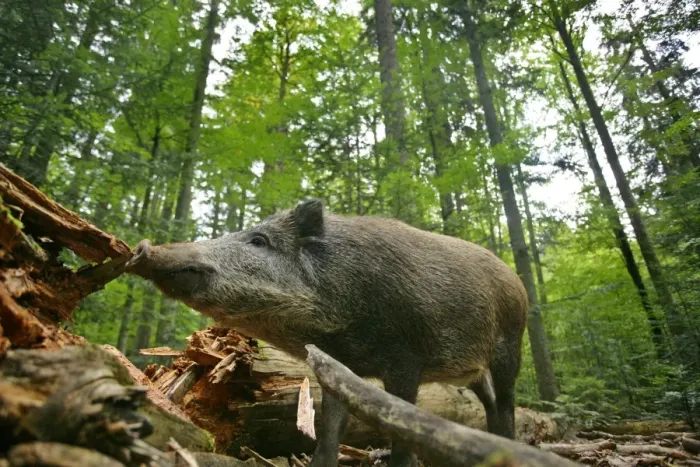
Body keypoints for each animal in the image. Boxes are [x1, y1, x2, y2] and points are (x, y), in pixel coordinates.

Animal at [126, 198, 528, 467]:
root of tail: (519, 284)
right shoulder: (338, 363)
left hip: (509, 348)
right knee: (491, 405)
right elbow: (330, 425)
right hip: (475, 372)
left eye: (259, 241)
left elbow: (402, 422)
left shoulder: (405, 358)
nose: (142, 249)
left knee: (506, 406)